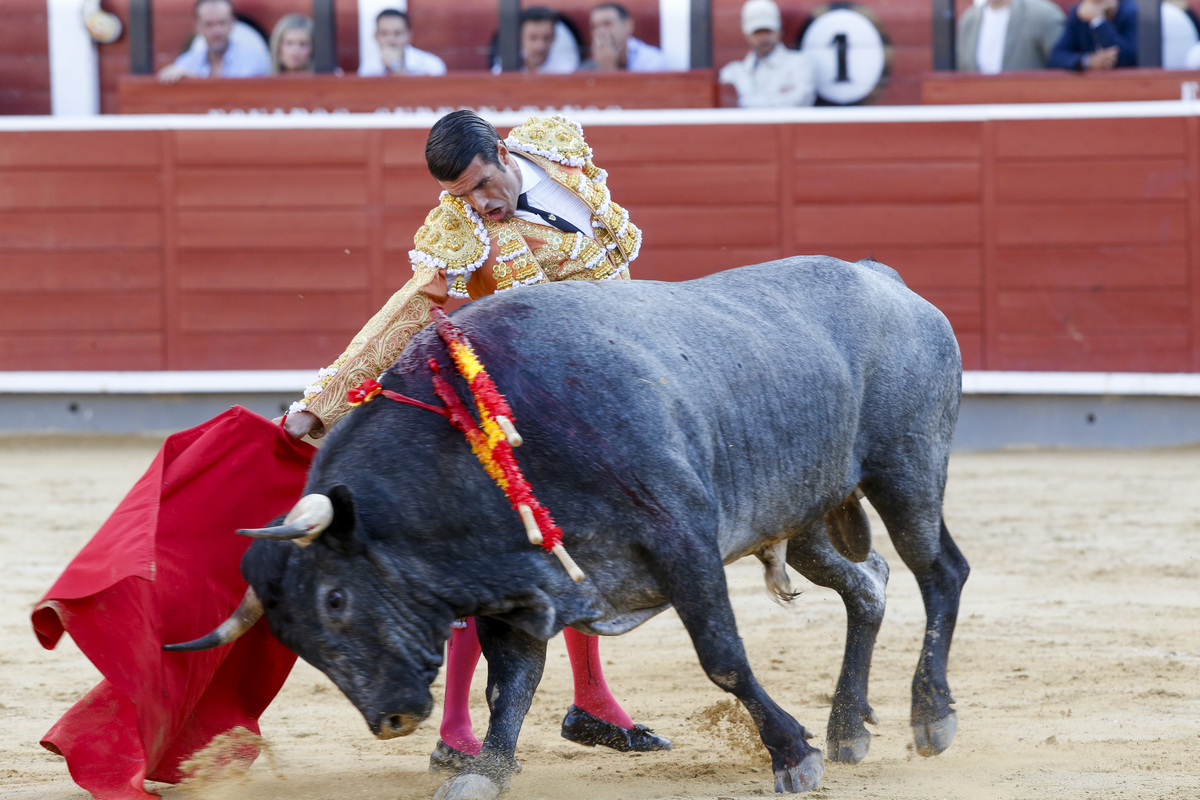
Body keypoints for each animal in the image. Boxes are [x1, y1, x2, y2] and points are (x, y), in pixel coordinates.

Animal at [174, 257, 969, 800]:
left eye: (335, 599)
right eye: (295, 639)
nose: (392, 719)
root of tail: (883, 278)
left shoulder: (683, 542)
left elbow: (723, 658)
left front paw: (792, 756)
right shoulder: (518, 591)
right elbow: (508, 686)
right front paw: (484, 771)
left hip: (906, 471)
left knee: (939, 572)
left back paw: (929, 717)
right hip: (807, 517)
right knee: (868, 584)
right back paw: (848, 728)